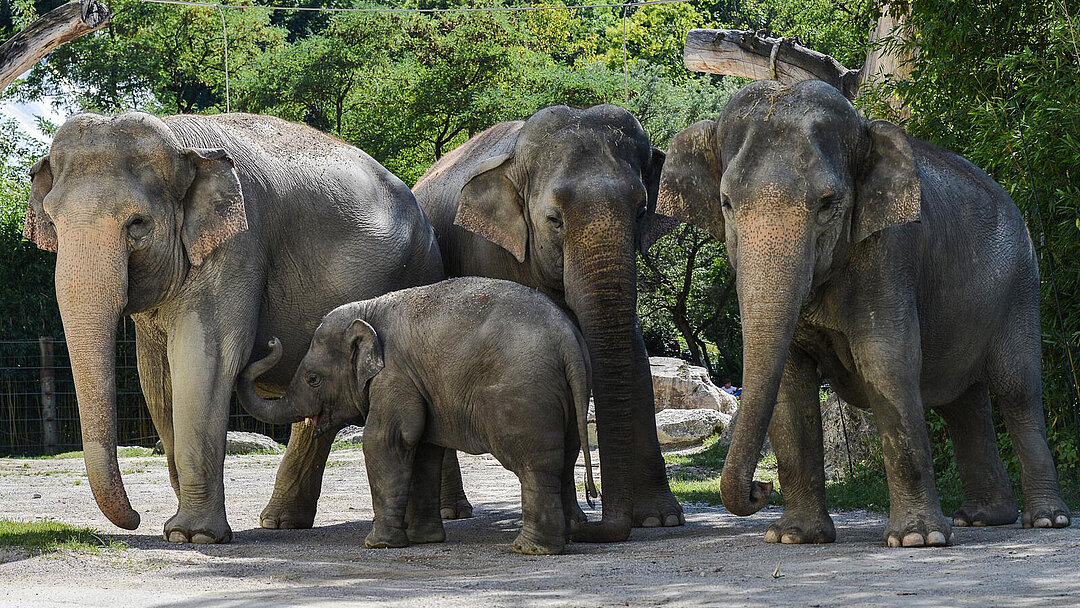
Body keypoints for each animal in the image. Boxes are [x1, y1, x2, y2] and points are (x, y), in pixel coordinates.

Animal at [24, 111, 442, 544]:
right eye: (52, 221)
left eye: (137, 224)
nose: (136, 518)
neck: (180, 140)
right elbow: (156, 379)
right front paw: (178, 529)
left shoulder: (238, 245)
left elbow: (204, 360)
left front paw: (193, 536)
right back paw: (280, 522)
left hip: (421, 268)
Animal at [233, 278, 600, 552]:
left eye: (312, 378)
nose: (271, 340)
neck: (368, 309)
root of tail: (567, 338)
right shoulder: (416, 382)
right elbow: (424, 448)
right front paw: (425, 539)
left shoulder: (394, 376)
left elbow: (386, 441)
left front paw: (378, 544)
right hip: (567, 395)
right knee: (564, 459)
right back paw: (563, 539)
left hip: (523, 396)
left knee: (533, 465)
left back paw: (530, 548)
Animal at [258, 104, 682, 542]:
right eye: (554, 219)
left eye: (641, 212)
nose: (595, 505)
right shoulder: (490, 248)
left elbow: (635, 360)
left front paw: (661, 519)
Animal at [656, 78, 1071, 548]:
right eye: (726, 202)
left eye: (827, 202)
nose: (762, 487)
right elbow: (790, 383)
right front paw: (793, 537)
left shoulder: (889, 253)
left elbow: (887, 363)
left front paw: (918, 541)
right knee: (963, 404)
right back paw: (981, 518)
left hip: (1022, 286)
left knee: (1017, 391)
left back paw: (1046, 520)